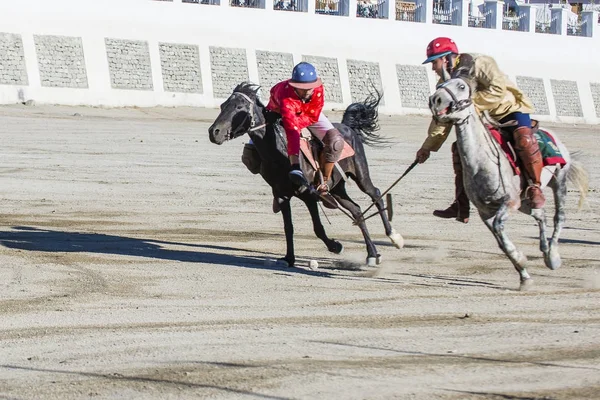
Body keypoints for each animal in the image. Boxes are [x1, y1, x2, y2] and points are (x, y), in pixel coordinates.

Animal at [207, 82, 404, 268]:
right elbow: (288, 227)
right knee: (356, 211)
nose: (214, 132)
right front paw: (289, 258)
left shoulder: (308, 194)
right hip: (337, 188)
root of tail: (348, 128)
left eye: (239, 107)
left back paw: (393, 237)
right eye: (223, 105)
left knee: (375, 194)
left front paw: (336, 246)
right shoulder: (281, 194)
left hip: (360, 173)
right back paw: (372, 254)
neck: (280, 151)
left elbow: (318, 227)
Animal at [428, 78, 588, 290]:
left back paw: (552, 257)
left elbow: (500, 229)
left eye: (461, 86)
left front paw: (524, 266)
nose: (435, 100)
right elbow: (502, 242)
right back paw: (544, 249)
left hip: (558, 181)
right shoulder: (485, 212)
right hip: (526, 201)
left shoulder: (509, 202)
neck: (482, 162)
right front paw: (524, 276)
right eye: (441, 85)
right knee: (541, 215)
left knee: (558, 217)